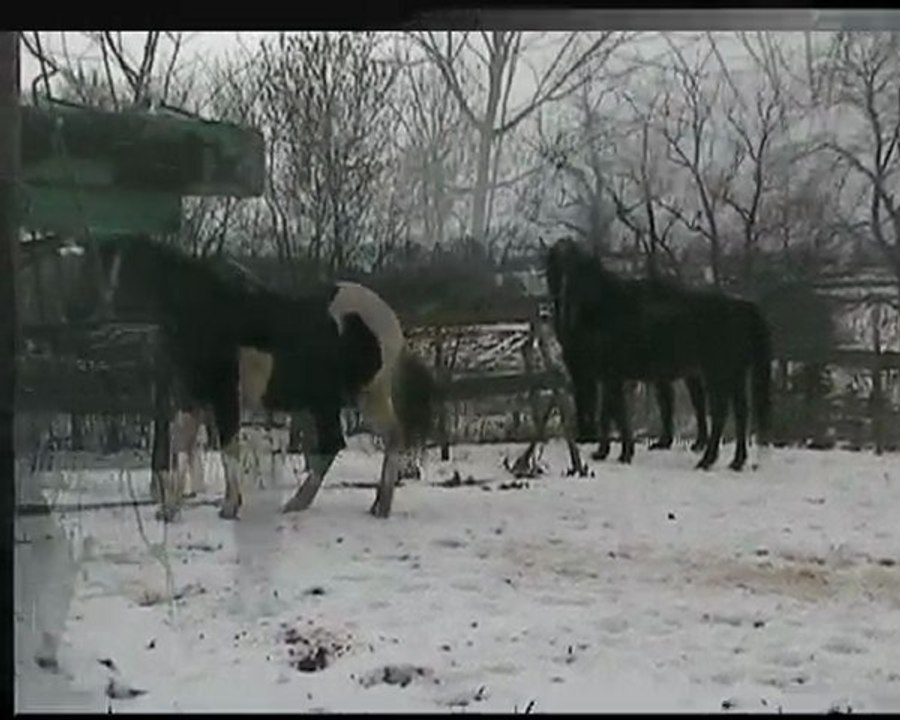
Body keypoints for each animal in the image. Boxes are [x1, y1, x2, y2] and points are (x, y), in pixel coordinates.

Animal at [68, 235, 439, 520]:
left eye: (112, 263)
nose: (89, 314)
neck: (203, 313)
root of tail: (389, 320)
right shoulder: (192, 396)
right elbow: (181, 444)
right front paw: (169, 509)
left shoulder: (224, 396)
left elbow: (227, 446)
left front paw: (230, 506)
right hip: (332, 400)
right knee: (341, 443)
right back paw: (313, 503)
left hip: (363, 393)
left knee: (380, 438)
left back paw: (377, 505)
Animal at [544, 237, 772, 471]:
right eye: (553, 266)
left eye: (579, 269)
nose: (566, 306)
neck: (605, 307)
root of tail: (742, 307)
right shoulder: (606, 376)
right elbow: (608, 413)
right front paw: (603, 452)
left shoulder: (612, 375)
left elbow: (618, 413)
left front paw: (625, 453)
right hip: (734, 375)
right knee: (741, 412)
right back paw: (736, 461)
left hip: (717, 374)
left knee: (719, 413)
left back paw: (707, 460)